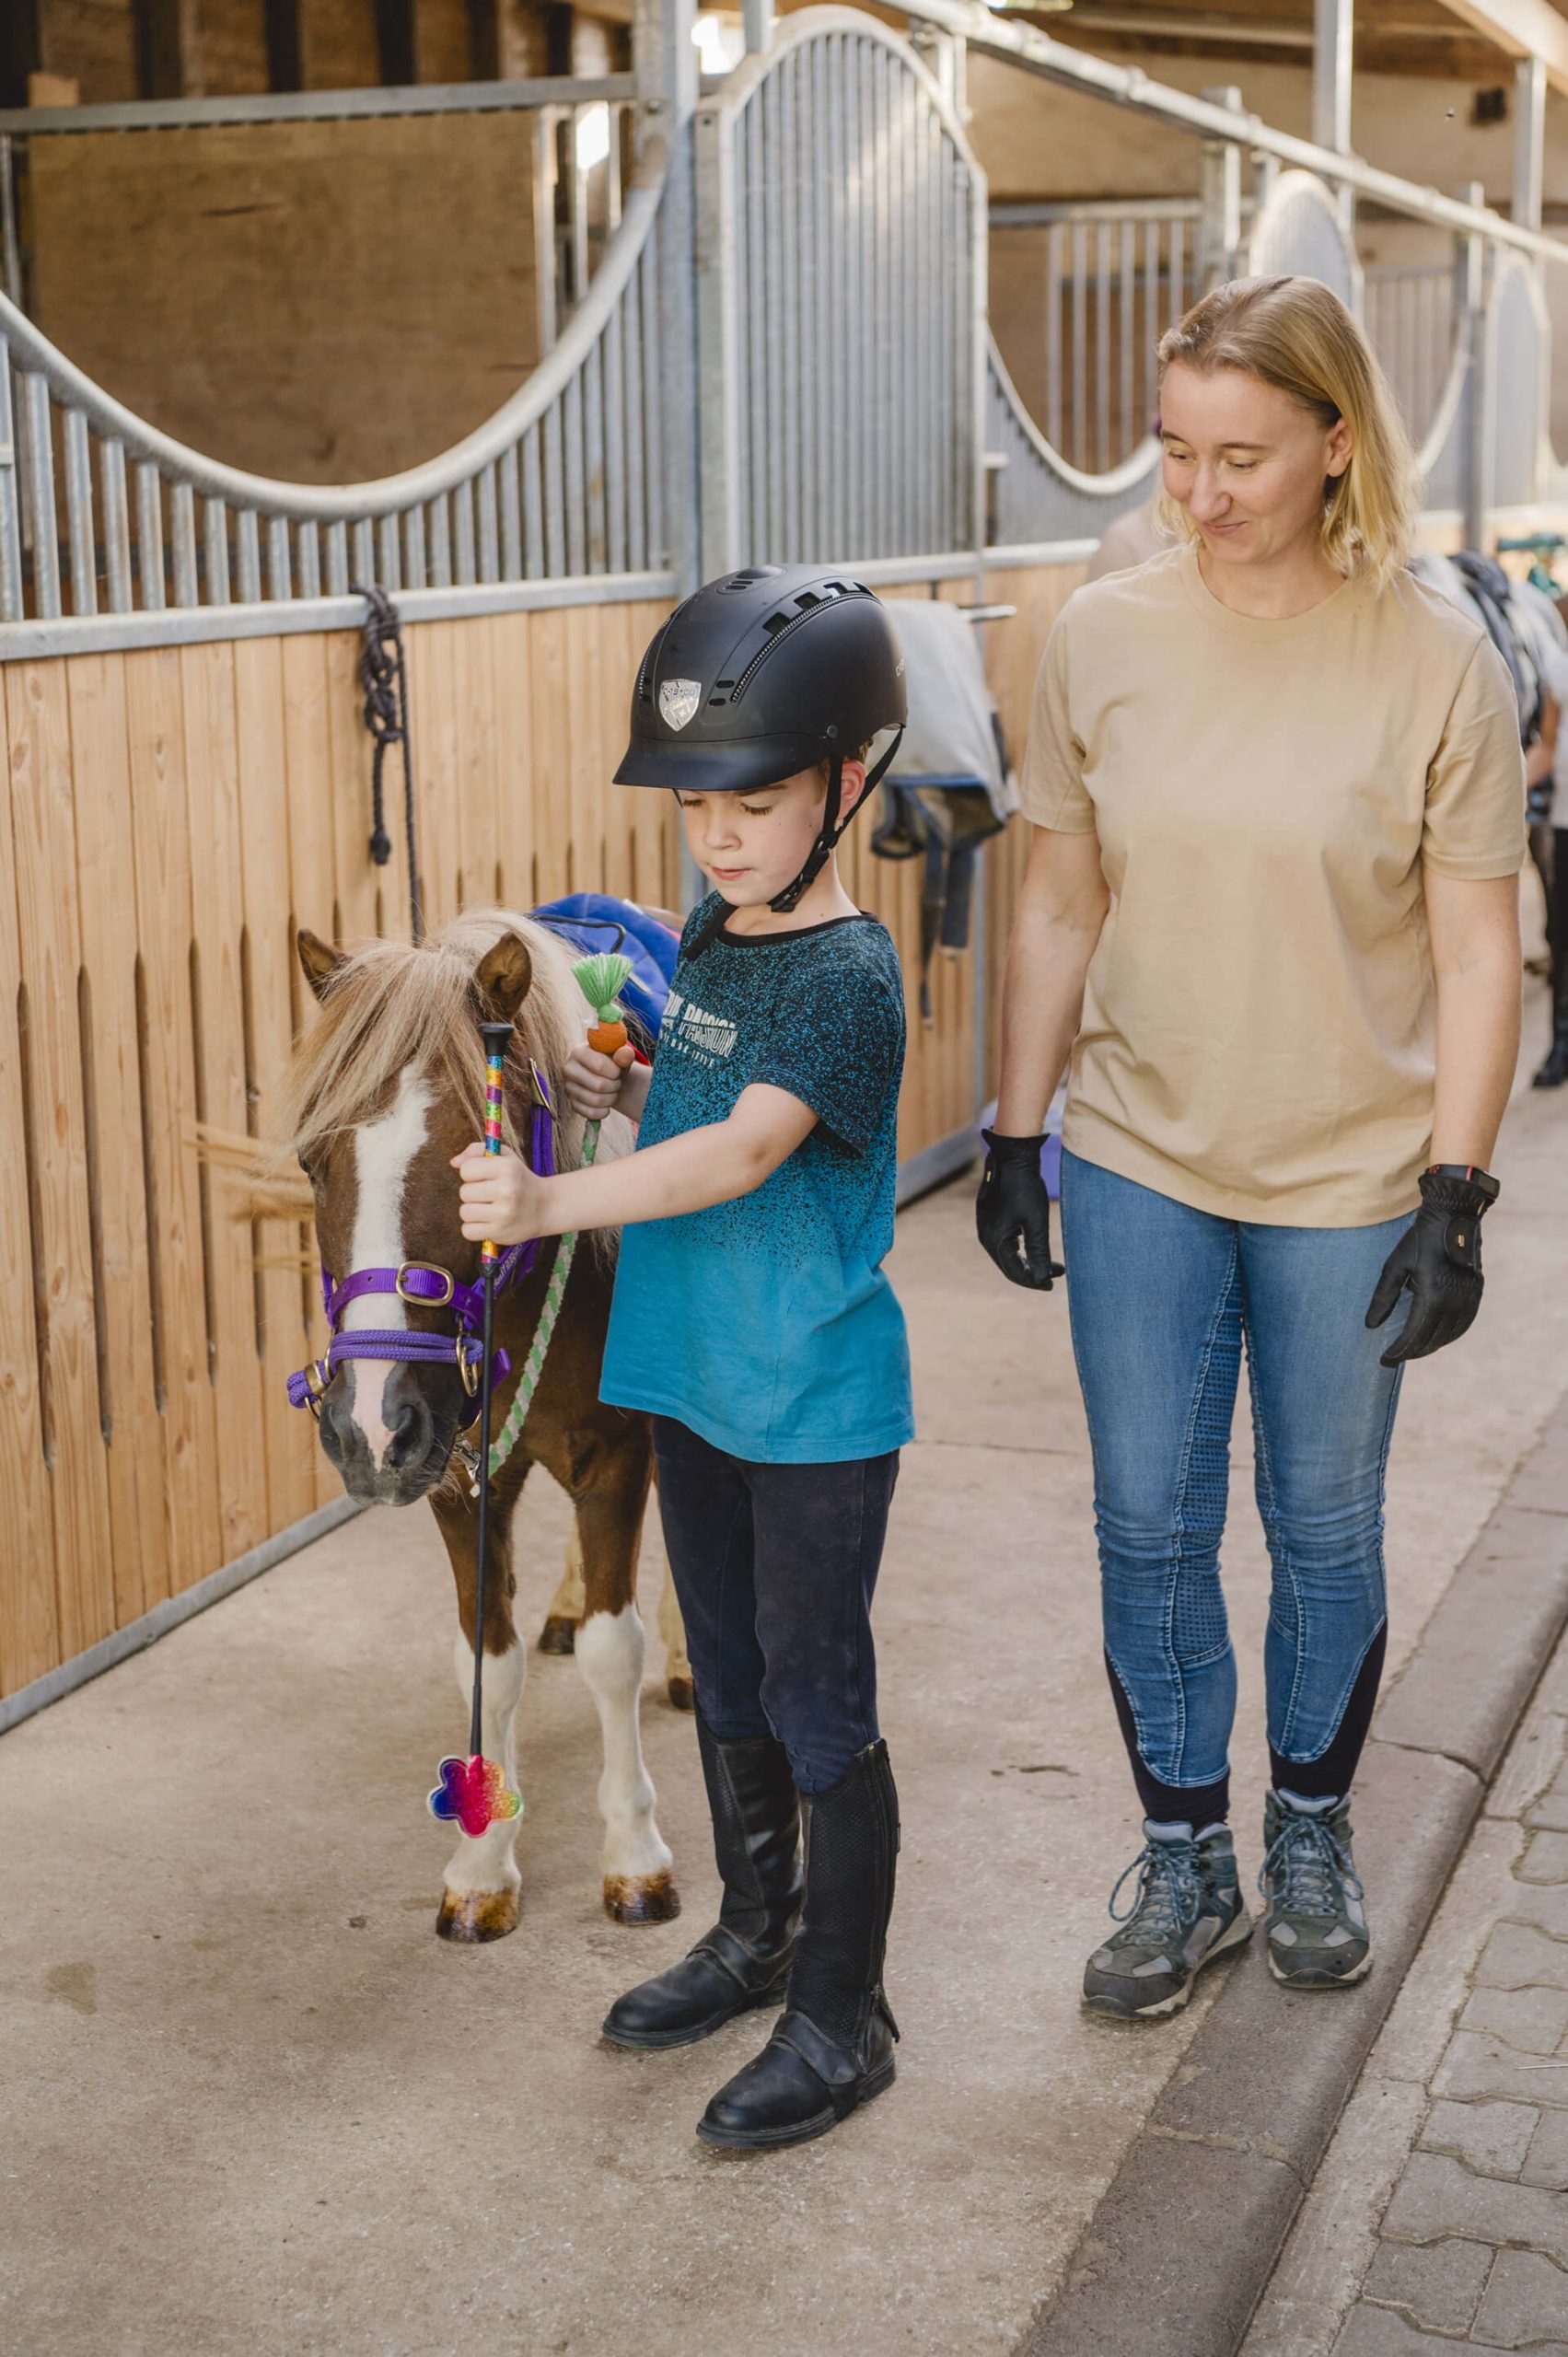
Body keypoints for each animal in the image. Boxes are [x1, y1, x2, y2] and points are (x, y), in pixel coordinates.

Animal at [276, 907, 685, 1943]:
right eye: (312, 1160)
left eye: (480, 1159)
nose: (368, 1428)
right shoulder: (456, 1475)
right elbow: (485, 1662)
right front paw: (481, 1863)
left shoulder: (614, 1453)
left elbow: (612, 1655)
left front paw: (634, 1857)